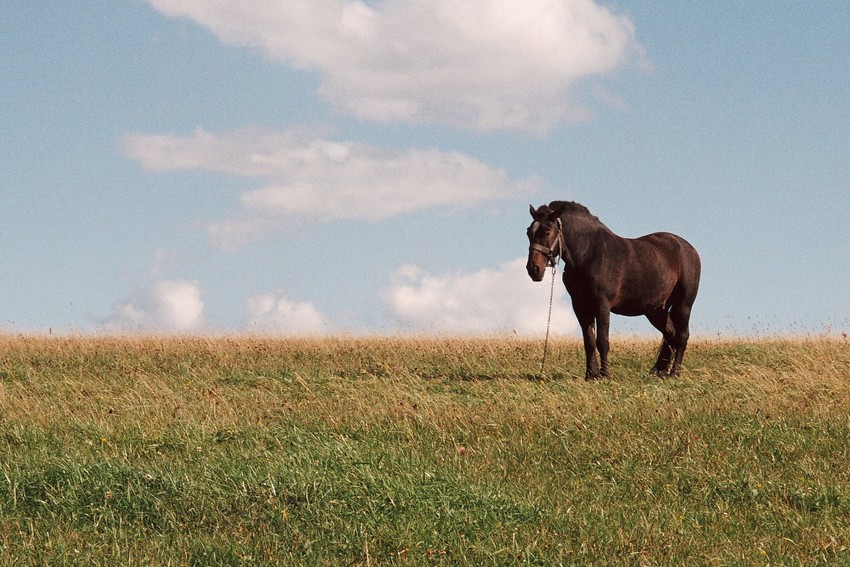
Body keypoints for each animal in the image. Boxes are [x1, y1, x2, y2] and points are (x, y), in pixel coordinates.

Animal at [524, 202, 704, 380]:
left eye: (547, 231)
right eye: (528, 232)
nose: (533, 269)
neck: (590, 254)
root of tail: (690, 249)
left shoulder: (602, 305)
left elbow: (602, 340)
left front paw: (605, 375)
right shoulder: (580, 306)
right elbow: (589, 341)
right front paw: (591, 375)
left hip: (684, 304)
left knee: (682, 335)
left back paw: (675, 373)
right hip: (656, 310)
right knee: (670, 335)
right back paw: (662, 372)